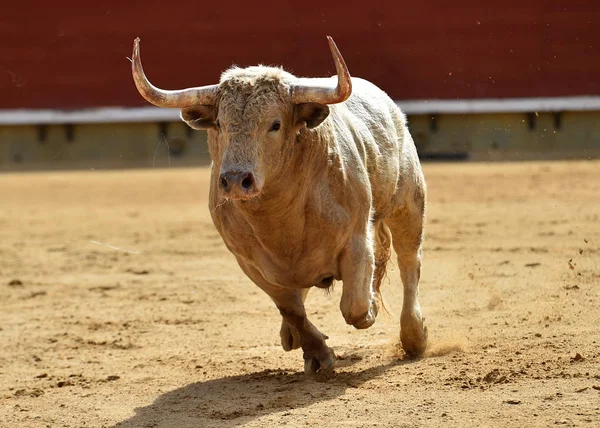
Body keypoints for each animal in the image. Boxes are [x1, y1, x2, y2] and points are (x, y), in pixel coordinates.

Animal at [134, 36, 428, 372]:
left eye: (275, 124)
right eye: (219, 124)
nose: (235, 179)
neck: (280, 217)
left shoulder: (356, 238)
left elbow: (354, 306)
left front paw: (370, 310)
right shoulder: (250, 264)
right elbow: (292, 309)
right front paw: (317, 353)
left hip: (408, 203)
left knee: (409, 262)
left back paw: (414, 336)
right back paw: (291, 335)